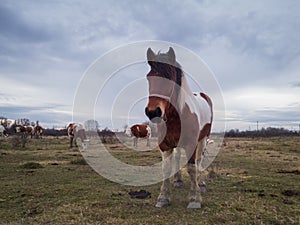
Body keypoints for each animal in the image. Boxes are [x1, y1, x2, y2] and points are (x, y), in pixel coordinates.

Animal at [145, 47, 213, 209]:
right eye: (148, 78)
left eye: (169, 78)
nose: (153, 112)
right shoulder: (165, 145)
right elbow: (166, 168)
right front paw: (163, 197)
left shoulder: (191, 144)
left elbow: (192, 168)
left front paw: (195, 198)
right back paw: (178, 180)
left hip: (203, 139)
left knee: (199, 161)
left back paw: (201, 183)